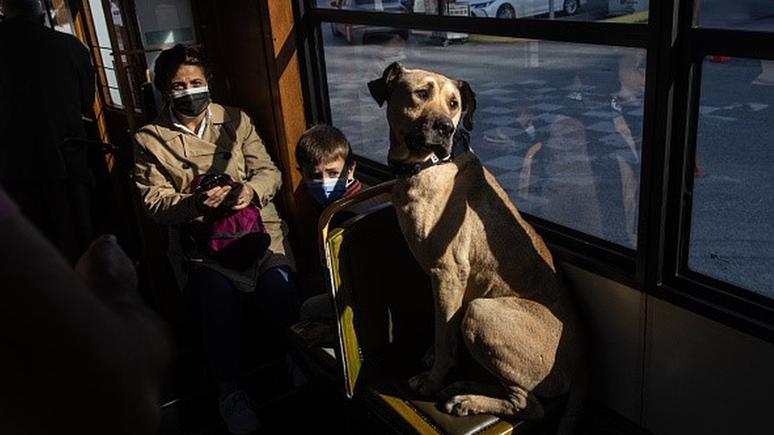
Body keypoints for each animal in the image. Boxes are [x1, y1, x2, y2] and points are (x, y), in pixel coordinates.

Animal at [370, 63, 588, 434]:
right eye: (421, 93)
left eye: (454, 104)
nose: (445, 127)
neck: (428, 164)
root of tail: (578, 370)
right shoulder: (443, 284)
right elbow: (442, 328)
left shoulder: (448, 275)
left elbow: (445, 340)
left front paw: (432, 379)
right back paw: (466, 386)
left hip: (480, 312)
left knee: (529, 405)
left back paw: (468, 399)